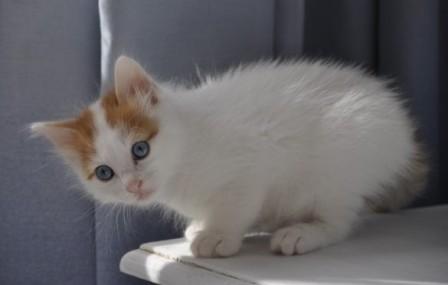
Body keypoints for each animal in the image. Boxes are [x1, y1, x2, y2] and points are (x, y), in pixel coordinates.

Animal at [31, 56, 428, 256]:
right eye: (105, 173)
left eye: (139, 149)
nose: (135, 186)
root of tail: (403, 133)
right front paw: (205, 226)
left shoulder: (253, 160)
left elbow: (238, 202)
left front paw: (219, 235)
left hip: (343, 156)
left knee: (342, 217)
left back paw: (304, 232)